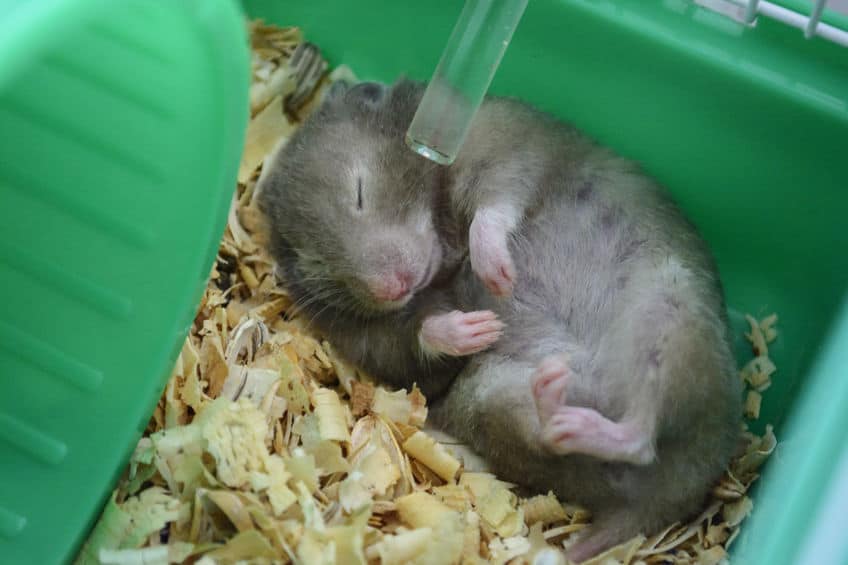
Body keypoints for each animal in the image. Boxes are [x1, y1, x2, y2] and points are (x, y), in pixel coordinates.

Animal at [259, 78, 742, 562]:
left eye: (359, 190)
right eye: (317, 262)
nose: (392, 289)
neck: (440, 238)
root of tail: (673, 494)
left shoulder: (506, 146)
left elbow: (495, 204)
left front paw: (498, 274)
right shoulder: (366, 336)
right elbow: (408, 339)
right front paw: (476, 328)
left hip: (668, 315)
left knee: (643, 430)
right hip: (491, 397)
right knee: (567, 441)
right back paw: (554, 400)